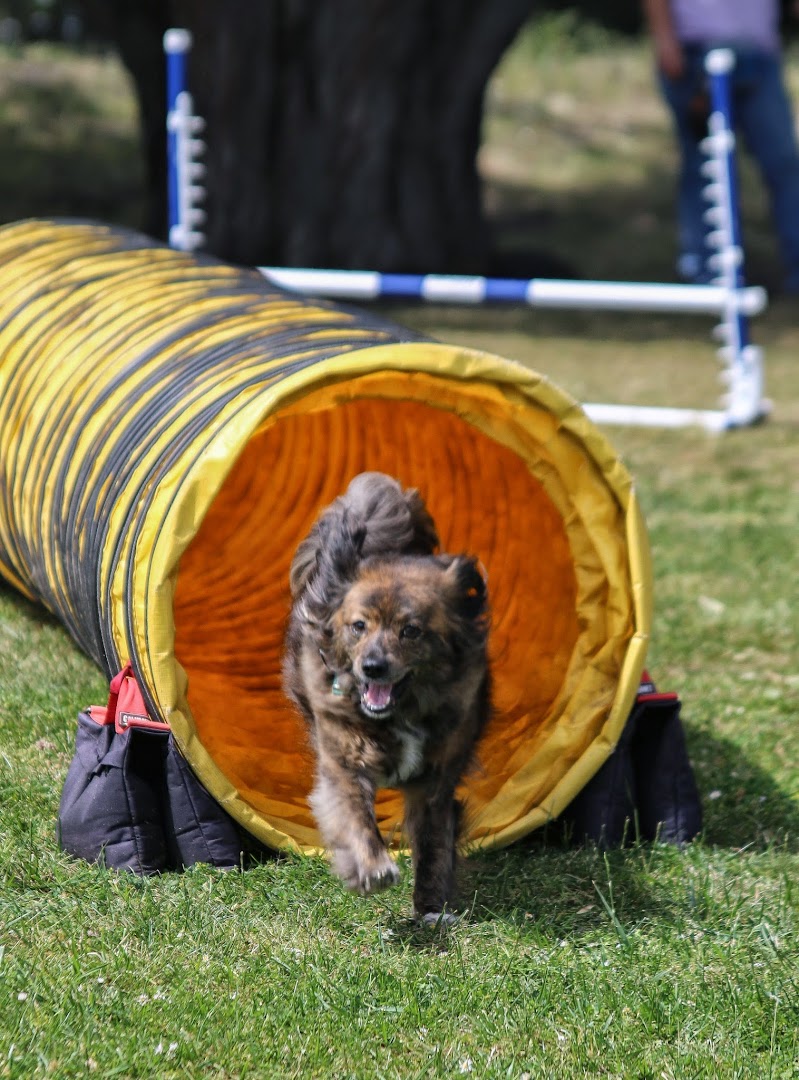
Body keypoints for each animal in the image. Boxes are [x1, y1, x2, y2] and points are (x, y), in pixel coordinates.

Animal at [285, 473, 490, 920]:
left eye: (410, 630)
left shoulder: (437, 781)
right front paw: (373, 867)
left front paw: (431, 906)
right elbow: (355, 816)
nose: (373, 668)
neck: (401, 713)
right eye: (358, 626)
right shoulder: (344, 759)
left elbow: (433, 842)